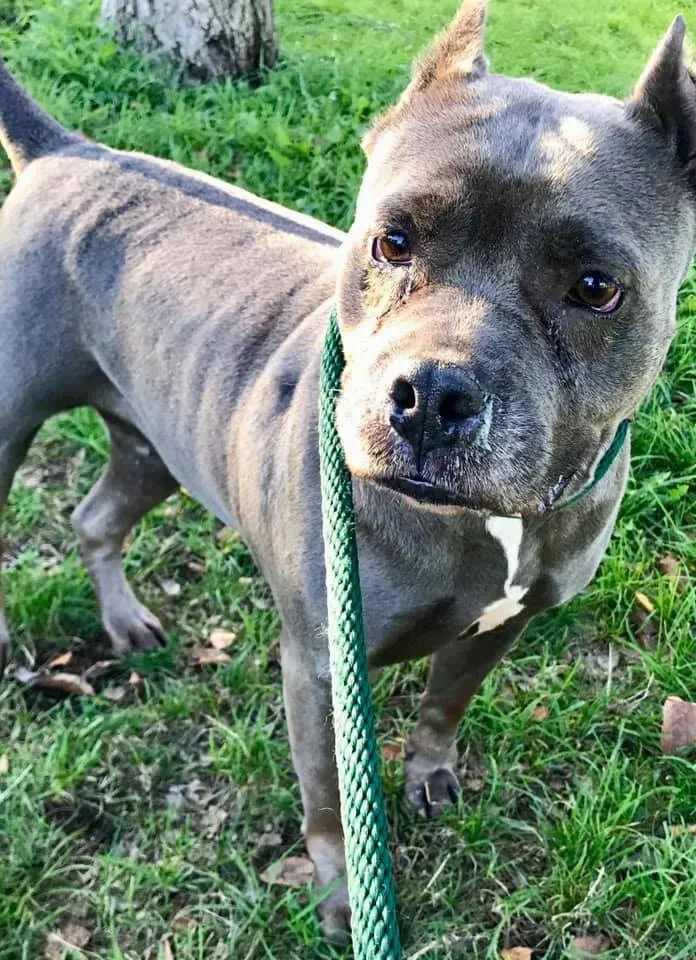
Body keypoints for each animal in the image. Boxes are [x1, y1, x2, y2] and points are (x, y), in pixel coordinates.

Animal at [0, 0, 692, 940]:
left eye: (595, 287)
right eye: (391, 241)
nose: (431, 394)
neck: (491, 519)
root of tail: (69, 149)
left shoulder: (506, 622)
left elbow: (444, 704)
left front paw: (429, 776)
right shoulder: (324, 668)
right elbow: (330, 799)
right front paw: (338, 896)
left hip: (152, 445)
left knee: (94, 520)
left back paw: (125, 624)